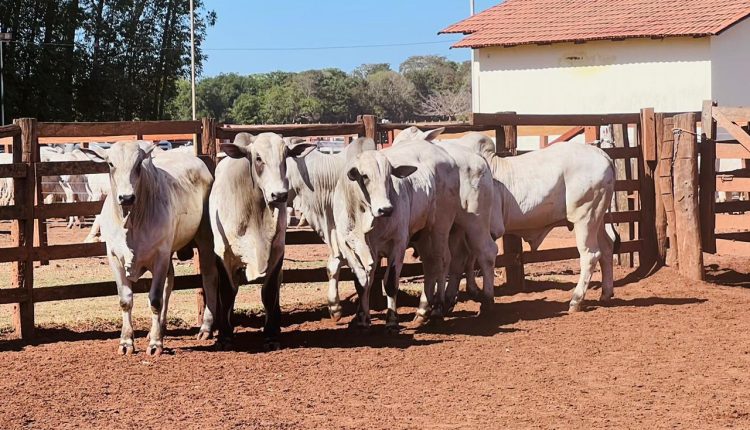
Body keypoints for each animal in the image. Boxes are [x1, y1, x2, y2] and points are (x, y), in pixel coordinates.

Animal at [81, 142, 219, 356]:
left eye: (139, 164)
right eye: (110, 163)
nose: (126, 197)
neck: (131, 222)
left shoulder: (160, 255)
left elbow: (155, 300)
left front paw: (155, 344)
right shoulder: (114, 257)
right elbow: (125, 300)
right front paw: (126, 342)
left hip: (205, 238)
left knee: (209, 277)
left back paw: (205, 328)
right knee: (169, 282)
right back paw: (161, 327)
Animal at [212, 132, 318, 350]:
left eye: (286, 156)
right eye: (258, 158)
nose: (279, 194)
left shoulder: (277, 251)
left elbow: (269, 292)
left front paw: (270, 335)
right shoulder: (222, 254)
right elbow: (227, 293)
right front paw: (225, 336)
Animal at [336, 139, 464, 328]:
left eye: (390, 176)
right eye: (364, 176)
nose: (386, 209)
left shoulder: (398, 243)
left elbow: (390, 283)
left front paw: (391, 321)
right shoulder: (349, 246)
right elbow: (362, 282)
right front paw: (361, 319)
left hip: (440, 227)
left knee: (441, 261)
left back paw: (437, 309)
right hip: (423, 235)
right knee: (430, 265)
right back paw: (422, 311)